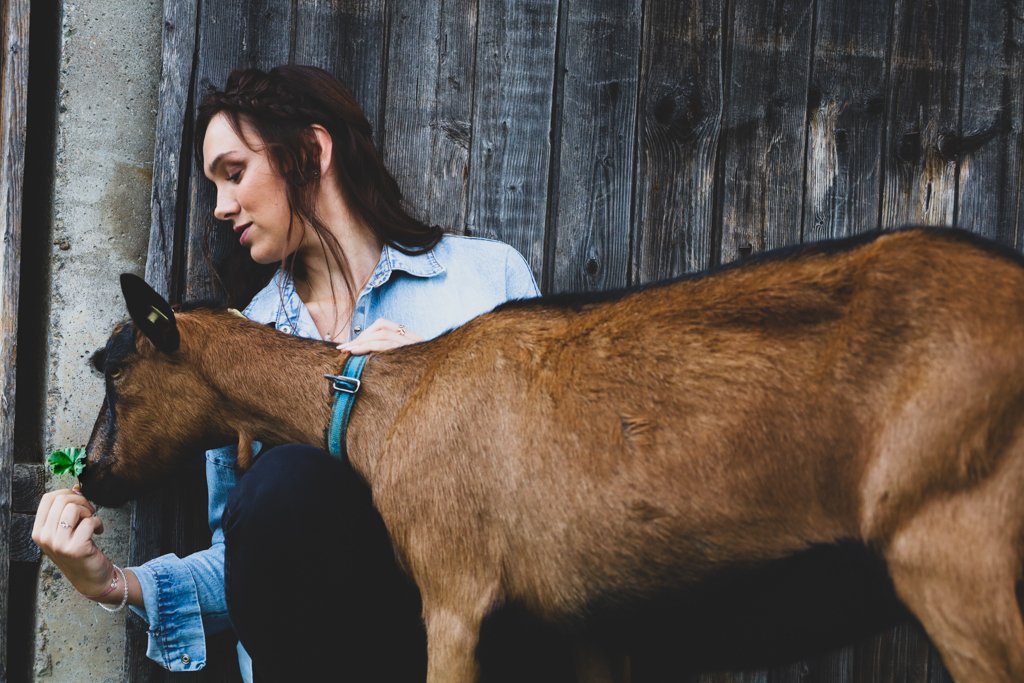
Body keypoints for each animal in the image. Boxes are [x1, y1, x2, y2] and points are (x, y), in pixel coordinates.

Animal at [81, 229, 1024, 683]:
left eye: (117, 371)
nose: (90, 473)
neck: (387, 400)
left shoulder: (455, 590)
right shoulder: (589, 618)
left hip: (953, 539)